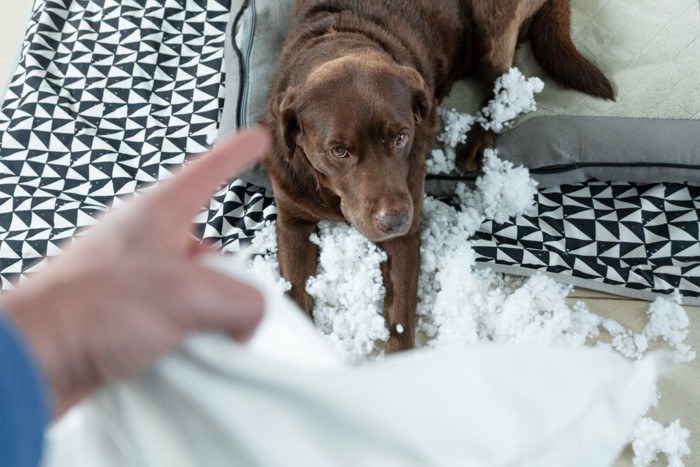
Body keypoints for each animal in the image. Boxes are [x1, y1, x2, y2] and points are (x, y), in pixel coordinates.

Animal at [262, 0, 612, 352]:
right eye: (338, 151)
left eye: (401, 137)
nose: (394, 220)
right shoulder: (291, 219)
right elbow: (293, 290)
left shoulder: (405, 230)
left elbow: (402, 312)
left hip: (490, 28)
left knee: (504, 82)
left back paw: (477, 139)